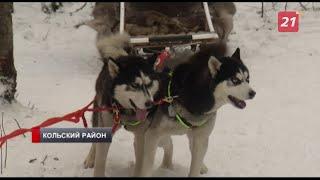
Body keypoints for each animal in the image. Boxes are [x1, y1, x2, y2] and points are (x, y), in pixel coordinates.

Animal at [137, 43, 255, 176]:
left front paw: (199, 167)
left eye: (248, 79)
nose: (253, 93)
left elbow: (195, 163)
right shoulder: (152, 134)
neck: (197, 96)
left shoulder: (200, 137)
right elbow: (147, 166)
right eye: (235, 80)